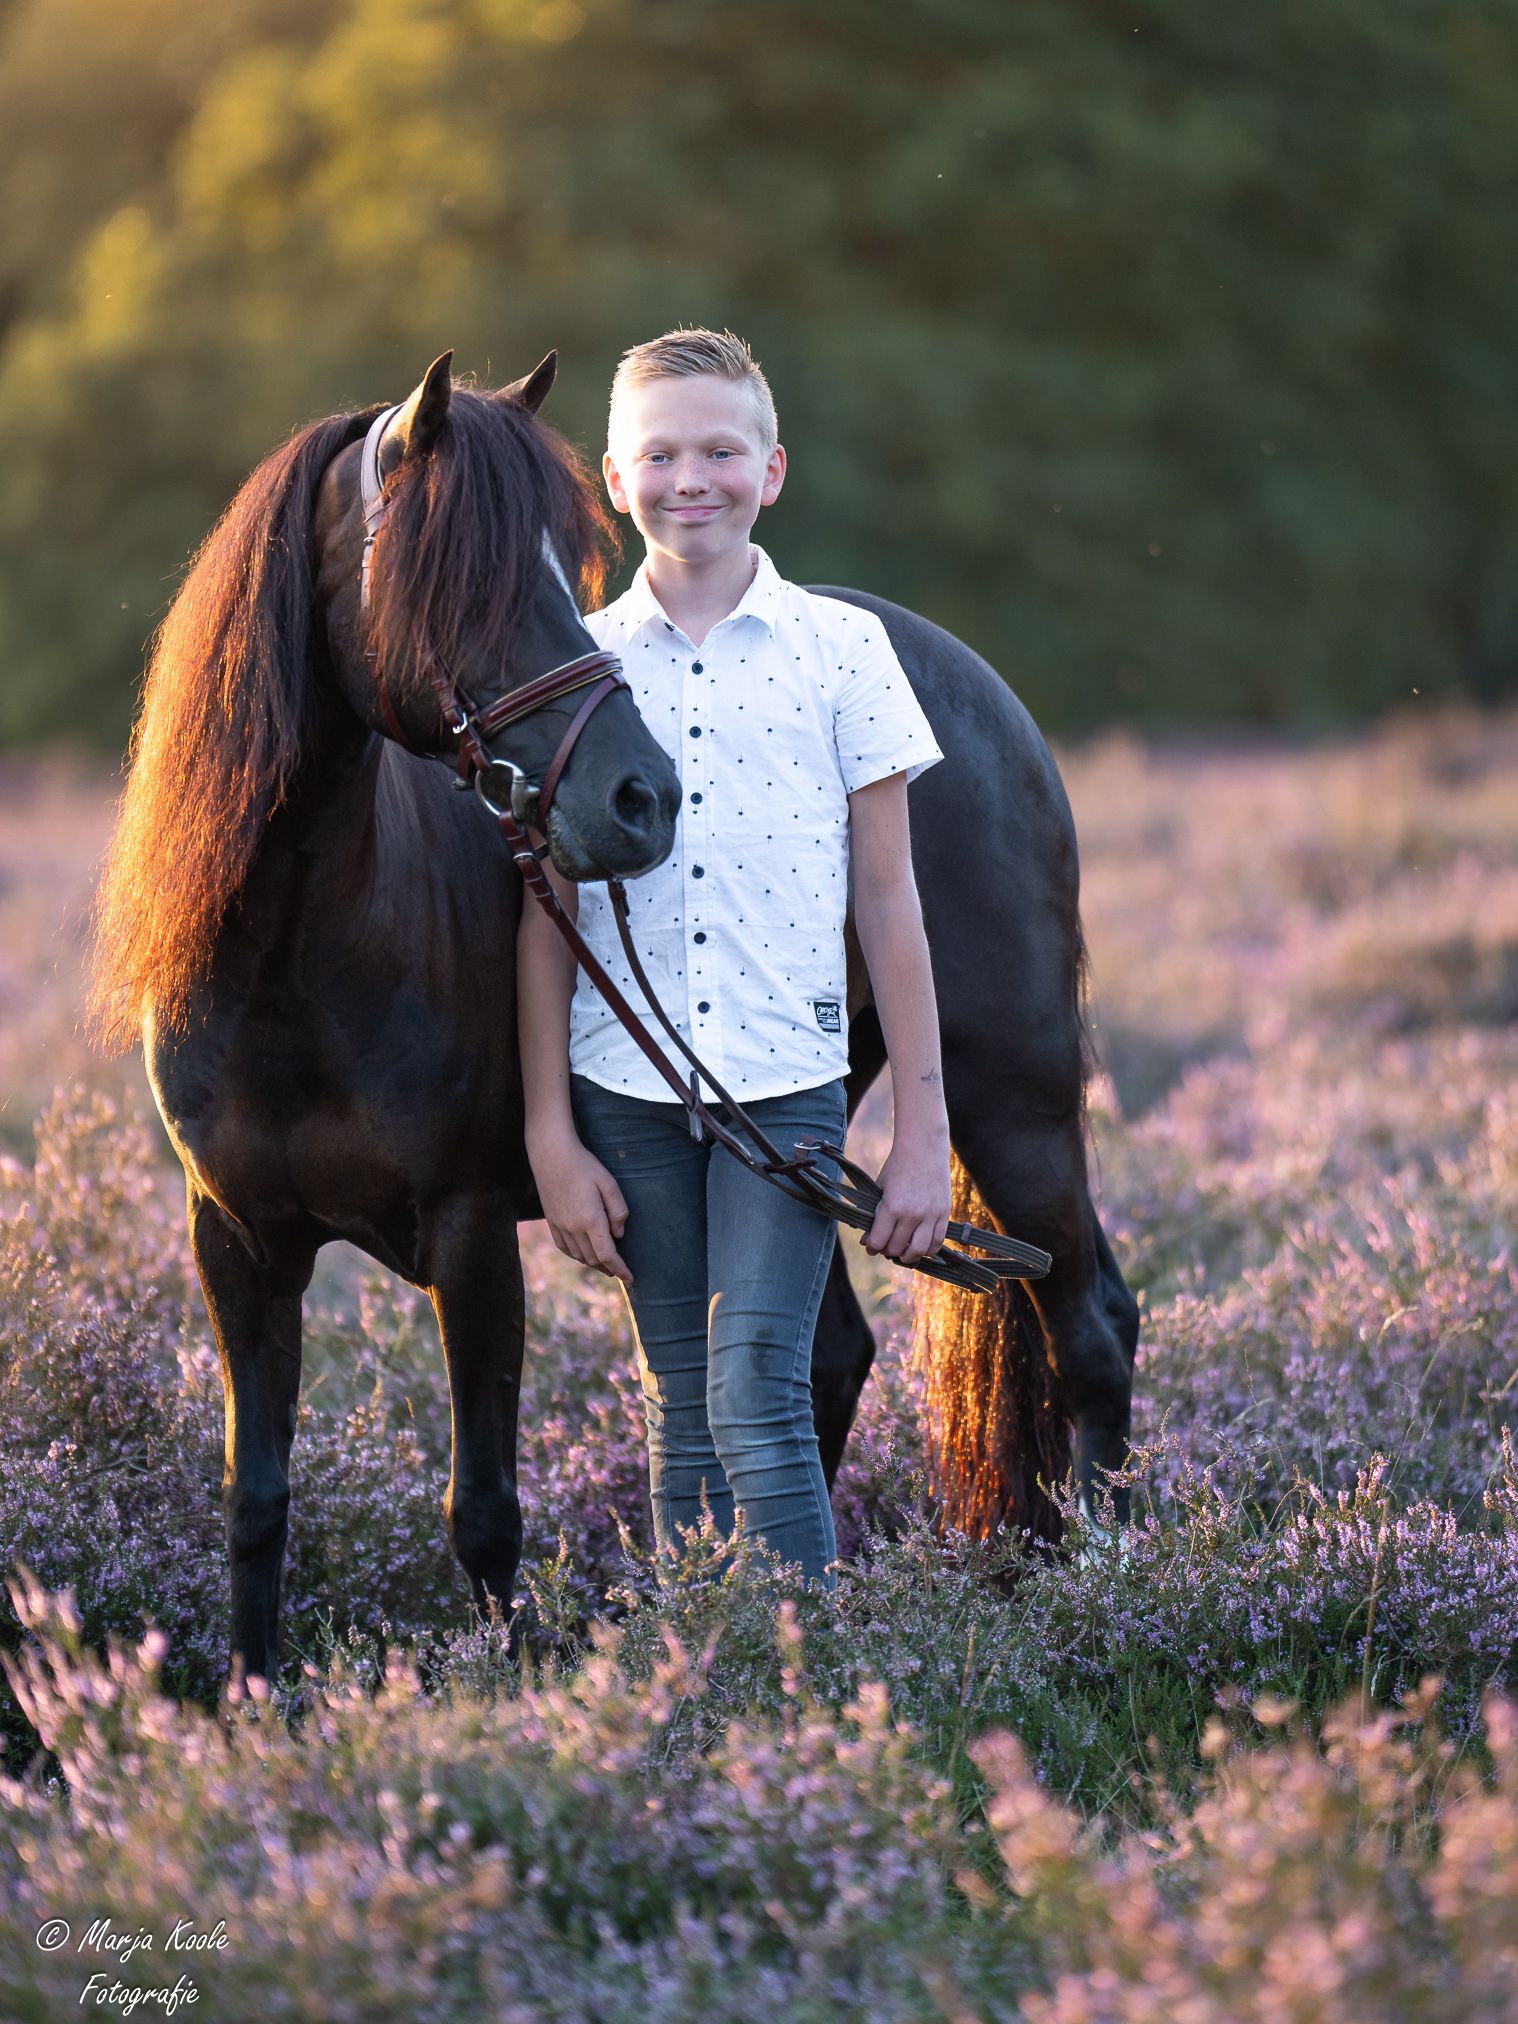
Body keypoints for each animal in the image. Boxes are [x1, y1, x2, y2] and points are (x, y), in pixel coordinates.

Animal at [91, 352, 1138, 1687]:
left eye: (565, 571)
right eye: (456, 575)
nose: (643, 799)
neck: (298, 962)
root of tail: (982, 698)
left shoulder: (471, 1233)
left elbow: (482, 1507)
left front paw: (511, 1690)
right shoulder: (236, 1240)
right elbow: (255, 1497)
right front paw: (250, 1704)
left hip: (1011, 1106)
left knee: (1088, 1333)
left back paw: (1104, 1587)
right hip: (786, 1146)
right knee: (820, 1360)